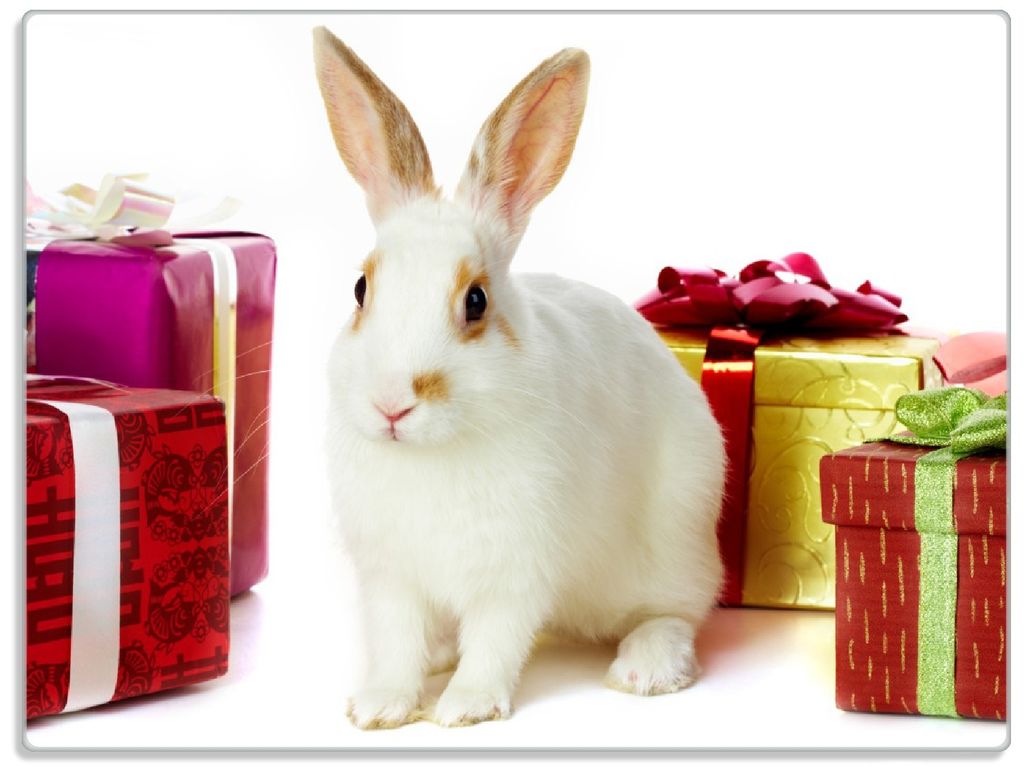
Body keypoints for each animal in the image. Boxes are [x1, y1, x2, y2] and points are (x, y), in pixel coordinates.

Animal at [314, 26, 725, 729]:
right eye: (361, 289)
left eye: (476, 301)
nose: (392, 404)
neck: (432, 452)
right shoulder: (393, 577)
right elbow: (396, 642)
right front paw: (379, 706)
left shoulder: (517, 569)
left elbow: (497, 639)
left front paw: (465, 708)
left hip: (679, 533)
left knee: (679, 609)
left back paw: (645, 668)